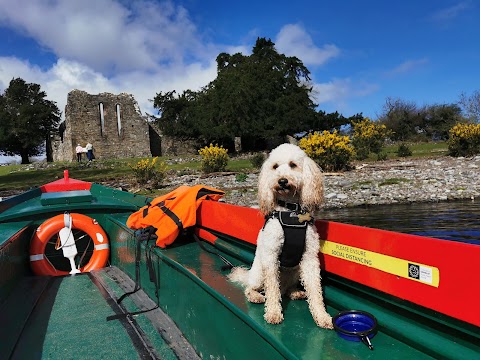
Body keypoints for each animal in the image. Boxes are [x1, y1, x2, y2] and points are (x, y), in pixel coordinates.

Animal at [228, 143, 332, 330]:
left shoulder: (309, 259)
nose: (282, 181)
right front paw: (273, 313)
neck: (290, 213)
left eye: (293, 165)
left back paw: (295, 292)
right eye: (275, 167)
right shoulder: (271, 256)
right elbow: (272, 289)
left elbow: (315, 290)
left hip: (296, 271)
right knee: (252, 288)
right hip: (259, 273)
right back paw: (255, 296)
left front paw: (322, 316)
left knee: (285, 289)